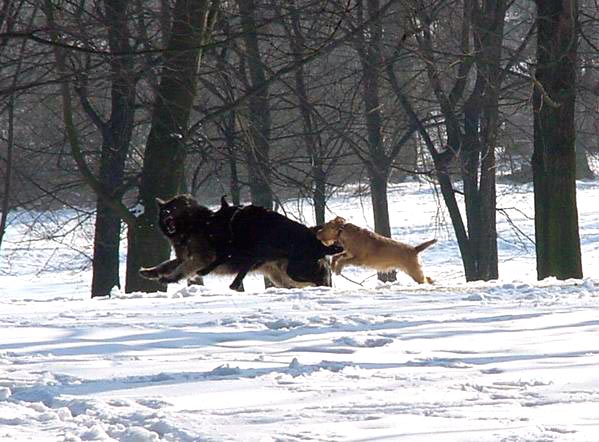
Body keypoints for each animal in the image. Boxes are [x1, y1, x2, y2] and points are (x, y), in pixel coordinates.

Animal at [138, 195, 340, 292]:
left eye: (172, 209)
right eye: (164, 210)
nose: (166, 216)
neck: (193, 224)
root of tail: (319, 243)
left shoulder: (201, 257)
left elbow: (183, 267)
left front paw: (170, 278)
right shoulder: (185, 256)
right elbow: (166, 264)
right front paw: (150, 272)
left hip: (294, 271)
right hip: (282, 277)